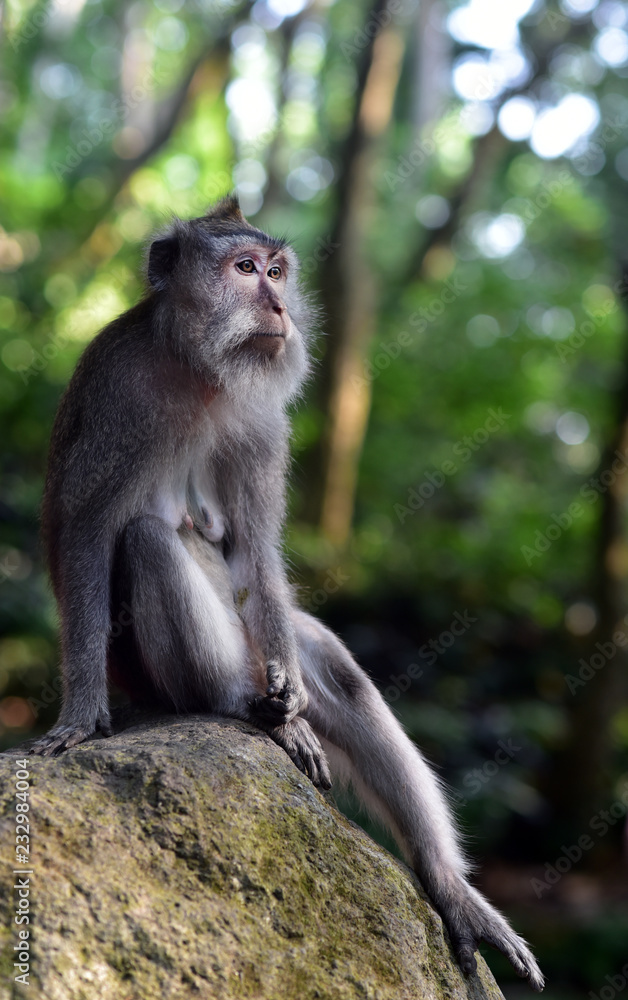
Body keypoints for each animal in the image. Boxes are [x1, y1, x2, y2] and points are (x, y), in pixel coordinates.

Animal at [31, 197, 544, 992]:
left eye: (276, 272)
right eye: (244, 269)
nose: (275, 305)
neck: (197, 370)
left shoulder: (264, 422)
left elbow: (255, 551)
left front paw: (297, 696)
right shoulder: (121, 396)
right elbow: (85, 533)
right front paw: (82, 715)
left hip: (254, 640)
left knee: (329, 664)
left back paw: (446, 886)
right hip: (160, 675)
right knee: (146, 540)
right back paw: (242, 708)